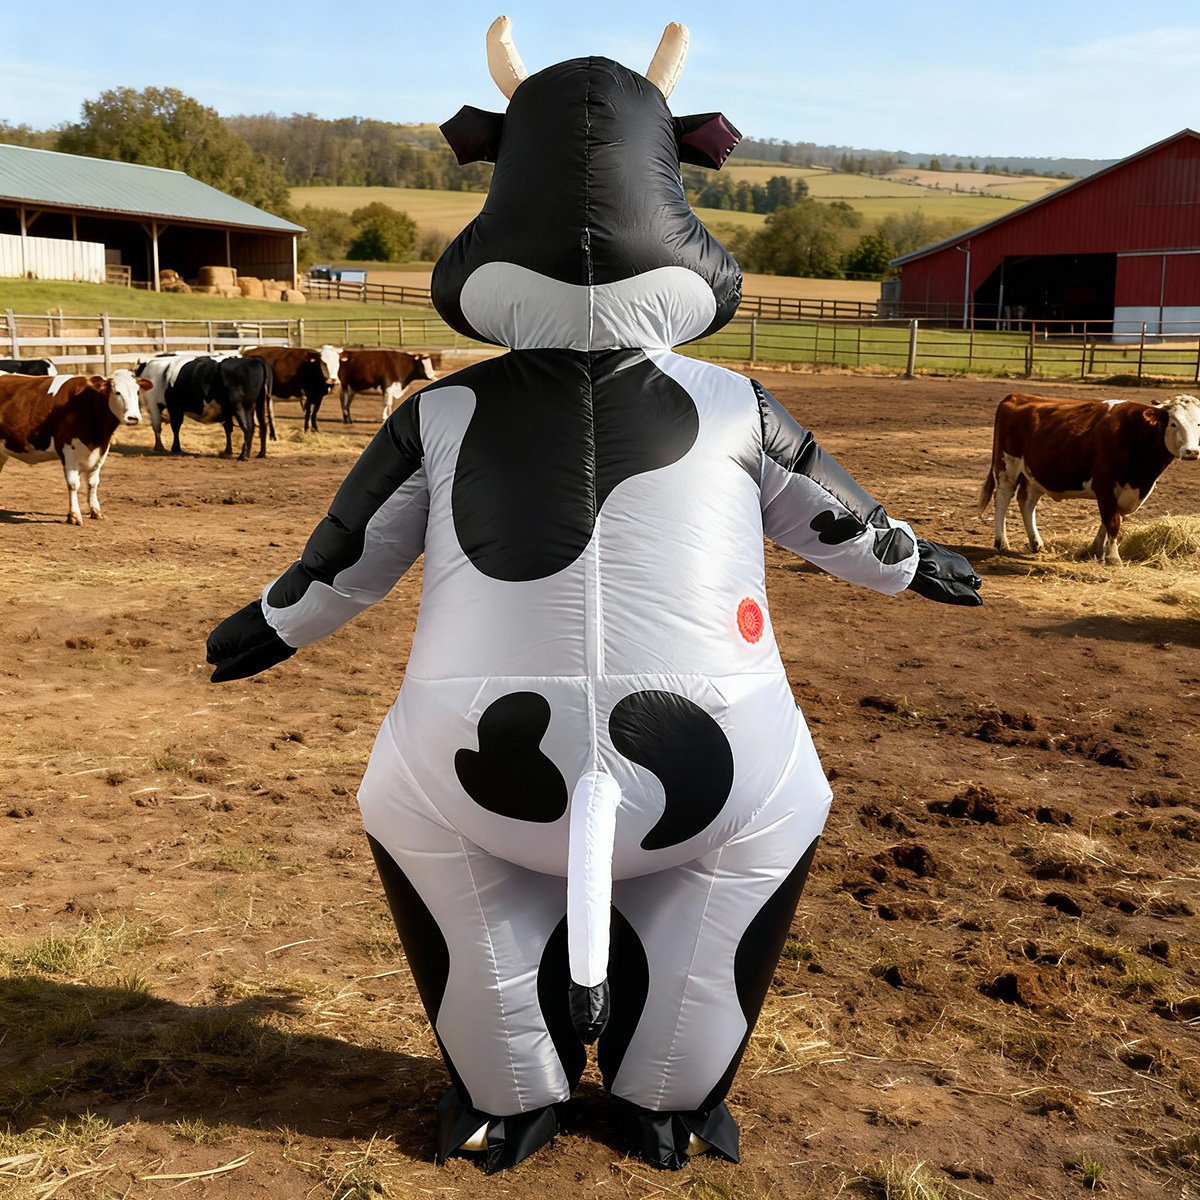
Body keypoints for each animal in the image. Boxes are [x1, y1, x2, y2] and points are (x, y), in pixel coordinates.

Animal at [0, 369, 150, 524]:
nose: (133, 418)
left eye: (137, 391)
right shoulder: (68, 450)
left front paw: (96, 511)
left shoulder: (101, 450)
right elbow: (73, 484)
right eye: (117, 392)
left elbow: (93, 483)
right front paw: (74, 515)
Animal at [135, 352, 272, 460]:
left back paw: (243, 456)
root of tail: (257, 360)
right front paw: (227, 452)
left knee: (248, 427)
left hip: (240, 406)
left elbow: (173, 426)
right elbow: (228, 428)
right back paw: (261, 454)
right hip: (258, 405)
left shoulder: (168, 406)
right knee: (263, 425)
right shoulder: (225, 409)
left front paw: (174, 448)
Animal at [979, 392, 1200, 563]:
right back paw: (1002, 542)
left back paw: (1036, 543)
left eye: (1199, 424)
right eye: (1173, 423)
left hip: (1034, 474)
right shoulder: (1105, 484)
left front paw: (1096, 550)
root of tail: (1017, 396)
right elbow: (1112, 521)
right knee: (1003, 497)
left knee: (1026, 503)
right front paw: (1113, 557)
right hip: (1006, 466)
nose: (1192, 451)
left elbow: (1109, 519)